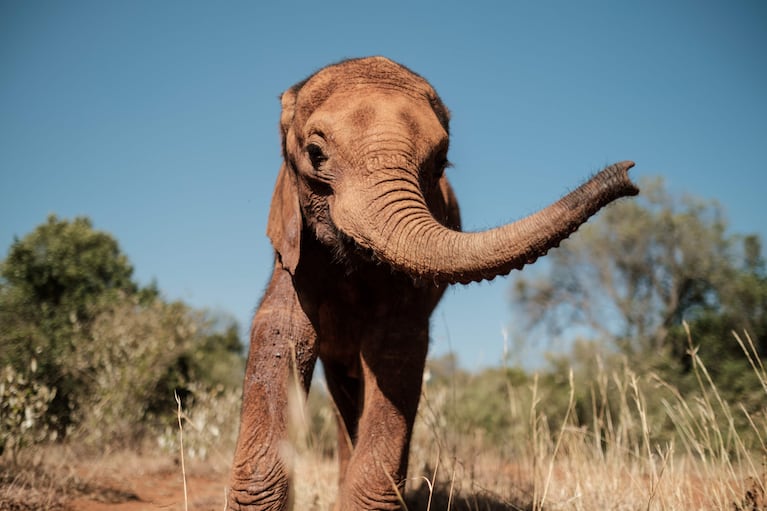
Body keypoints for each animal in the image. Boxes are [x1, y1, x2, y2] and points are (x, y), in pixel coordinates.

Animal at [230, 57, 640, 511]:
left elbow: (396, 348)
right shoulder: (294, 242)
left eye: (441, 163)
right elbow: (281, 330)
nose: (628, 174)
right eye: (315, 154)